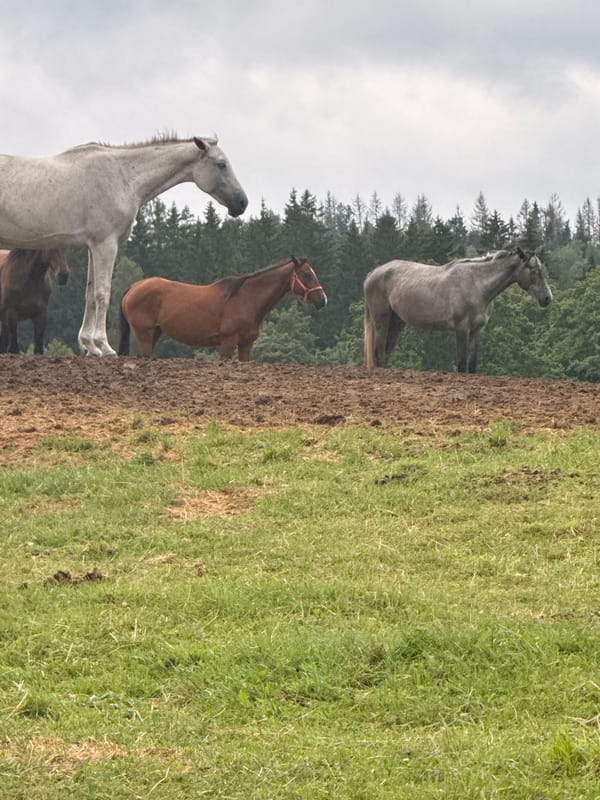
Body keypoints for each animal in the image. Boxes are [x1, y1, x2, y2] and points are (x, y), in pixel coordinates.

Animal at [0, 135, 247, 356]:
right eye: (221, 164)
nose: (242, 202)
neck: (123, 177)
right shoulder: (106, 245)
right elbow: (103, 293)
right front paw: (104, 346)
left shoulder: (93, 247)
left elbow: (90, 294)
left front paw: (89, 346)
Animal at [118, 256, 327, 360]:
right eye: (307, 274)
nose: (322, 300)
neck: (246, 298)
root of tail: (134, 287)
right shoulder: (227, 343)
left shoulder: (246, 345)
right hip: (144, 333)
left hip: (155, 332)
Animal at [363, 248, 553, 373]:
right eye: (534, 270)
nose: (547, 298)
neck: (476, 284)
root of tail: (373, 273)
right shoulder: (462, 329)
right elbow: (461, 364)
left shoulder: (476, 330)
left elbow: (472, 365)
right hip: (382, 321)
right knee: (379, 352)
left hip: (397, 323)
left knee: (384, 354)